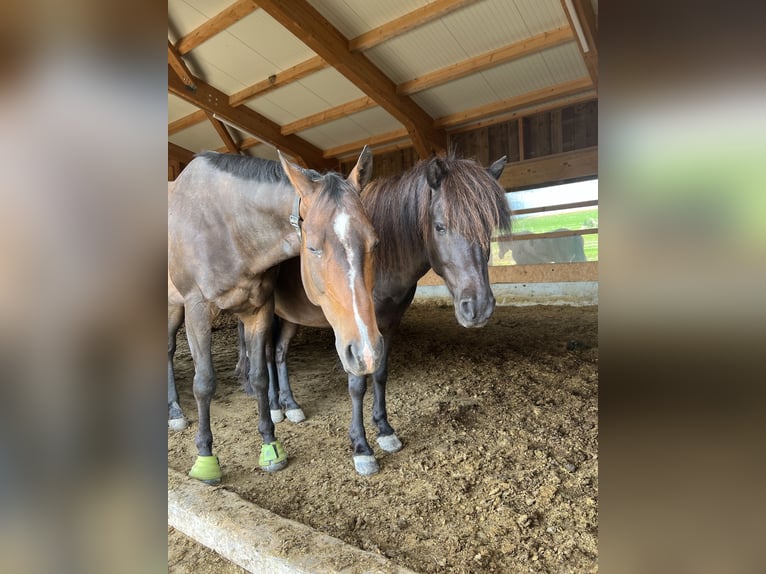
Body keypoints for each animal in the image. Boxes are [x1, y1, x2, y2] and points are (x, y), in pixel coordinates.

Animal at [169, 148, 384, 486]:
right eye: (313, 248)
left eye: (374, 242)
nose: (366, 352)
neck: (226, 227)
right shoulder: (197, 309)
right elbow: (203, 383)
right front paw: (205, 459)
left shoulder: (259, 309)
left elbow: (260, 376)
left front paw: (270, 446)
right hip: (172, 307)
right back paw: (175, 412)